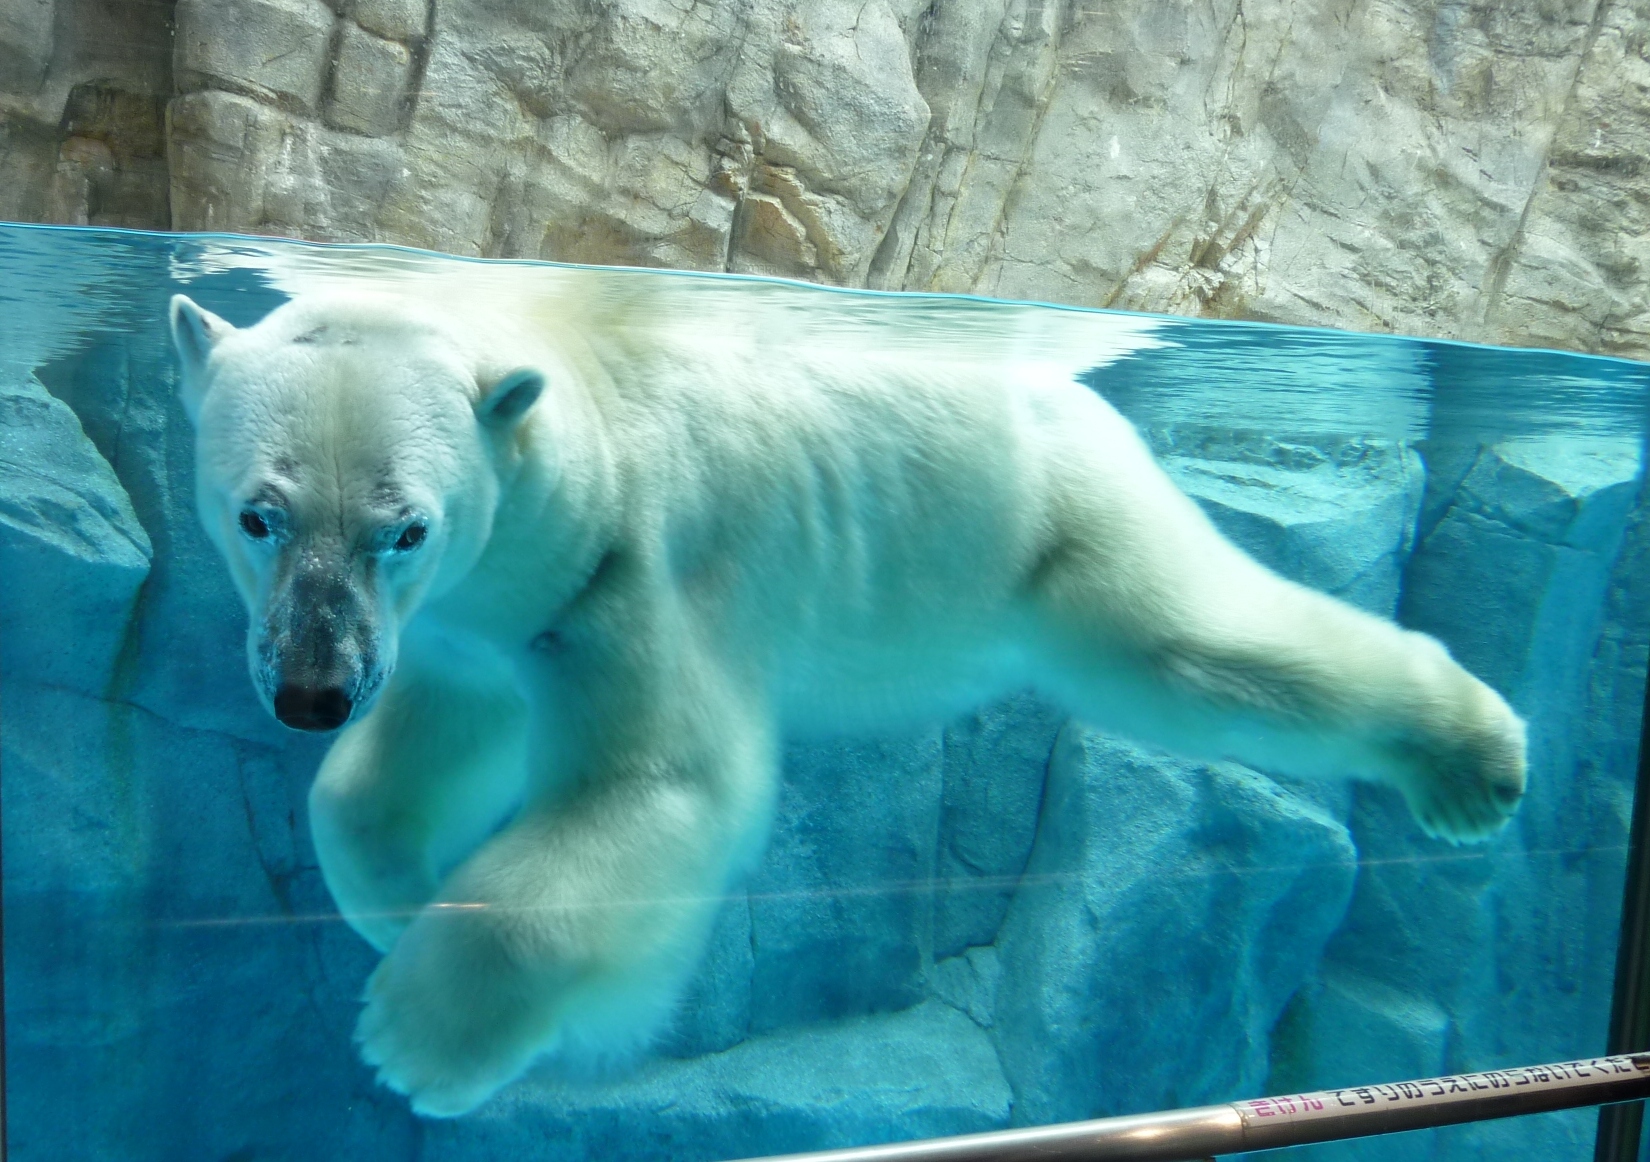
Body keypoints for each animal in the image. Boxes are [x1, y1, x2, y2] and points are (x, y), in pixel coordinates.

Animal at [167, 277, 1518, 1122]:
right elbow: (400, 766)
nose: (311, 690)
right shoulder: (485, 622)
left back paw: (1473, 755)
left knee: (1188, 643)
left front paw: (415, 1034)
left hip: (1050, 508)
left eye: (405, 525)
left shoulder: (632, 564)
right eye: (258, 514)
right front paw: (398, 898)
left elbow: (660, 785)